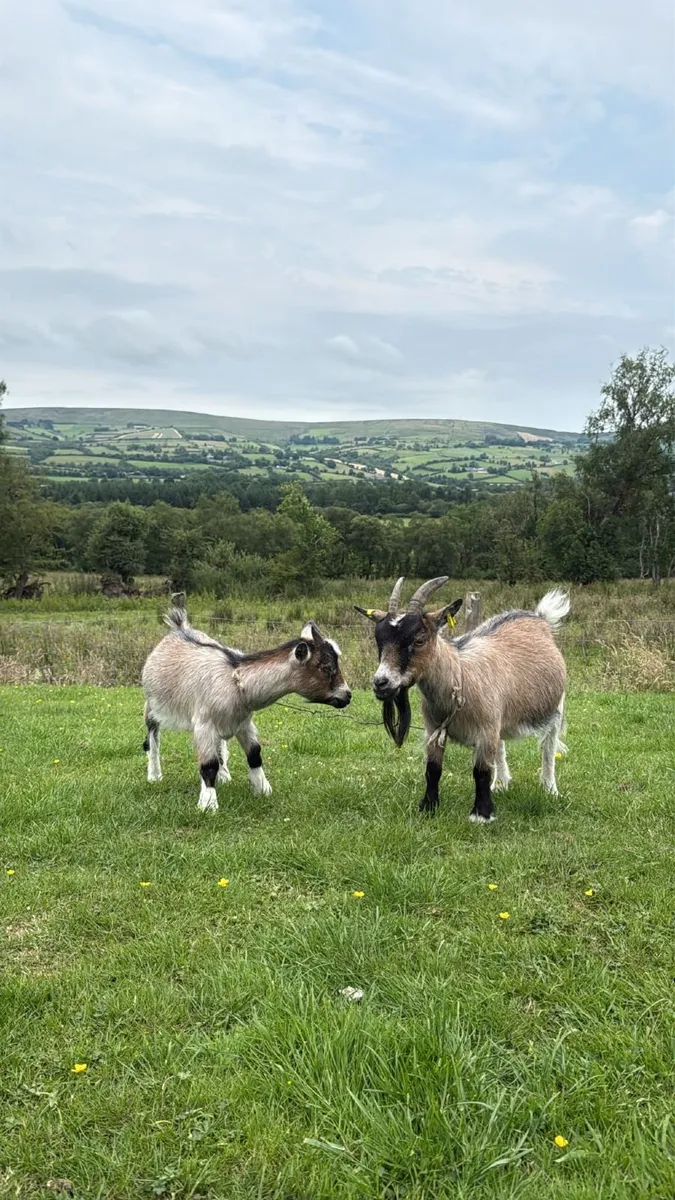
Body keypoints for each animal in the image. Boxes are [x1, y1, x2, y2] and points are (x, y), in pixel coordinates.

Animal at [142, 598, 352, 812]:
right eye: (326, 667)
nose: (347, 695)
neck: (235, 679)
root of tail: (180, 628)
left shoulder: (243, 723)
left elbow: (254, 754)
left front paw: (263, 790)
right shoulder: (204, 724)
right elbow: (208, 765)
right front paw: (208, 805)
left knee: (220, 745)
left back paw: (224, 775)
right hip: (152, 705)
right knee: (152, 737)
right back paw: (154, 775)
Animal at [356, 577, 570, 822]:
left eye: (419, 640)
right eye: (379, 640)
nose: (381, 683)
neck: (460, 676)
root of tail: (539, 618)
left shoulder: (485, 730)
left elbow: (481, 772)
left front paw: (481, 814)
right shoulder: (435, 729)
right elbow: (433, 769)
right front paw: (428, 807)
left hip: (556, 705)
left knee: (549, 746)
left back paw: (549, 788)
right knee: (501, 746)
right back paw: (501, 784)